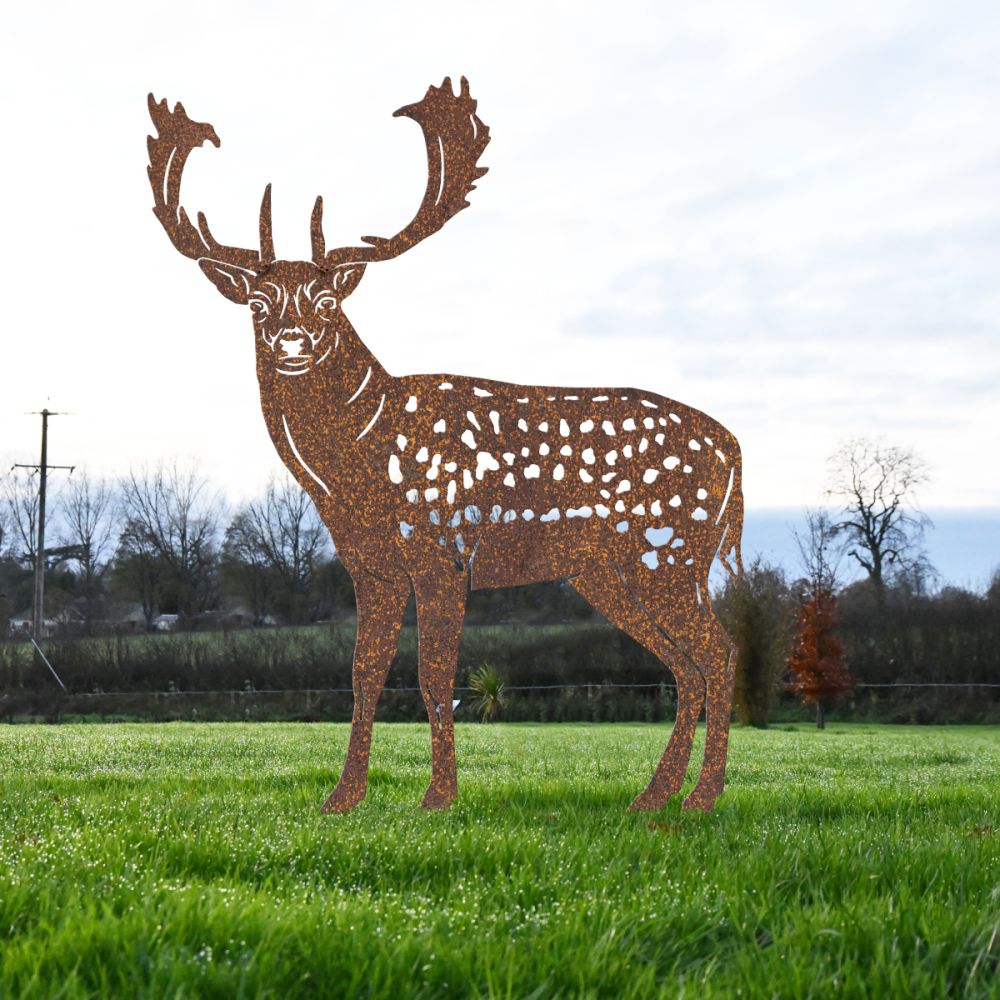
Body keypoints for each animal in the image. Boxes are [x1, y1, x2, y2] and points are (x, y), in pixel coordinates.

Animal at [146, 77, 744, 814]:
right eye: (258, 304)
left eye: (327, 303)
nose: (291, 343)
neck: (360, 457)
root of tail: (734, 449)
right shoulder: (369, 564)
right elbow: (363, 673)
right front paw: (343, 797)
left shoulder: (443, 546)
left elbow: (434, 675)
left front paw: (438, 797)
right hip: (608, 570)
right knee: (685, 663)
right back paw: (654, 799)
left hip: (670, 549)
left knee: (718, 653)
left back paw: (698, 800)